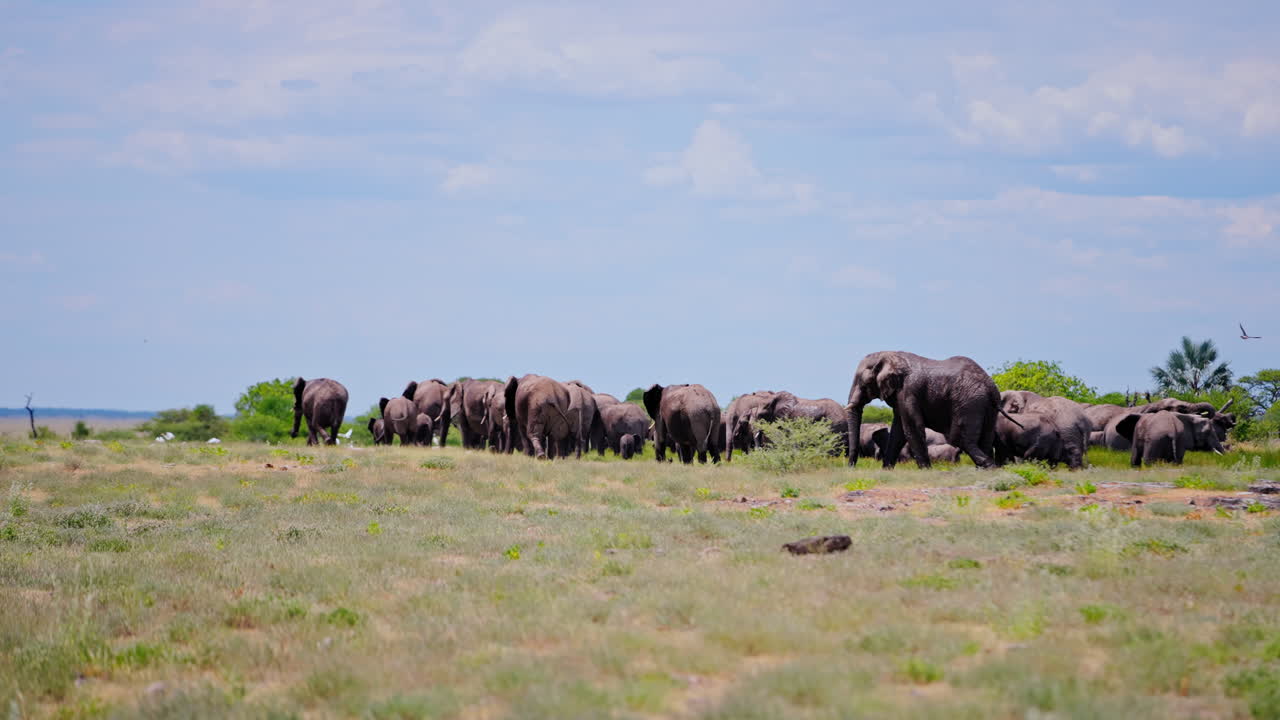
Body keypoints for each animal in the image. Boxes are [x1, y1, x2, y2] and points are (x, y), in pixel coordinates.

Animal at [845, 351, 1008, 469]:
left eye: (864, 382)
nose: (851, 467)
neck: (887, 355)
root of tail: (990, 386)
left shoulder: (908, 391)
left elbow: (912, 427)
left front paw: (925, 469)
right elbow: (898, 431)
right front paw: (886, 470)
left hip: (969, 402)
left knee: (960, 438)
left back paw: (990, 467)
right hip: (986, 406)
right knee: (985, 437)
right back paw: (982, 469)